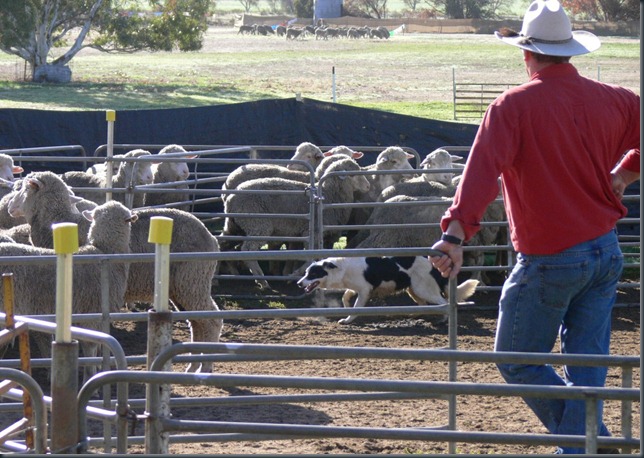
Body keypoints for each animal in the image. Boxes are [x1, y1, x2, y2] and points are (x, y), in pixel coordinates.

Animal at [221, 156, 370, 288]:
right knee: (247, 250)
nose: (368, 186)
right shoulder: (313, 232)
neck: (328, 195)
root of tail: (231, 198)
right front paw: (293, 275)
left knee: (223, 243)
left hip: (235, 226)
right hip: (258, 224)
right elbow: (311, 257)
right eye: (353, 174)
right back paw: (262, 281)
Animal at [298, 256, 478, 324]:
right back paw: (415, 315)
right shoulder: (355, 288)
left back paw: (444, 319)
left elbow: (356, 308)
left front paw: (348, 319)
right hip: (413, 290)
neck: (342, 268)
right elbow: (345, 297)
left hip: (423, 289)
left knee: (443, 301)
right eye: (306, 272)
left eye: (313, 274)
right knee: (424, 304)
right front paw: (346, 308)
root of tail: (434, 266)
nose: (299, 283)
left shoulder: (365, 290)